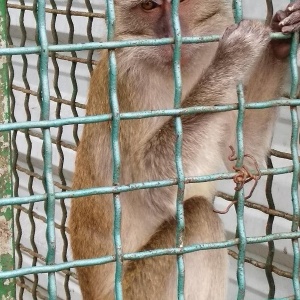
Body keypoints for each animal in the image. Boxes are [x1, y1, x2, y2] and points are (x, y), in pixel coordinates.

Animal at [69, 0, 300, 298]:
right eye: (148, 6)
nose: (170, 32)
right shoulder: (128, 80)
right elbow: (152, 181)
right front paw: (234, 55)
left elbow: (243, 153)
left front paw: (280, 37)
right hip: (140, 289)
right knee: (198, 215)